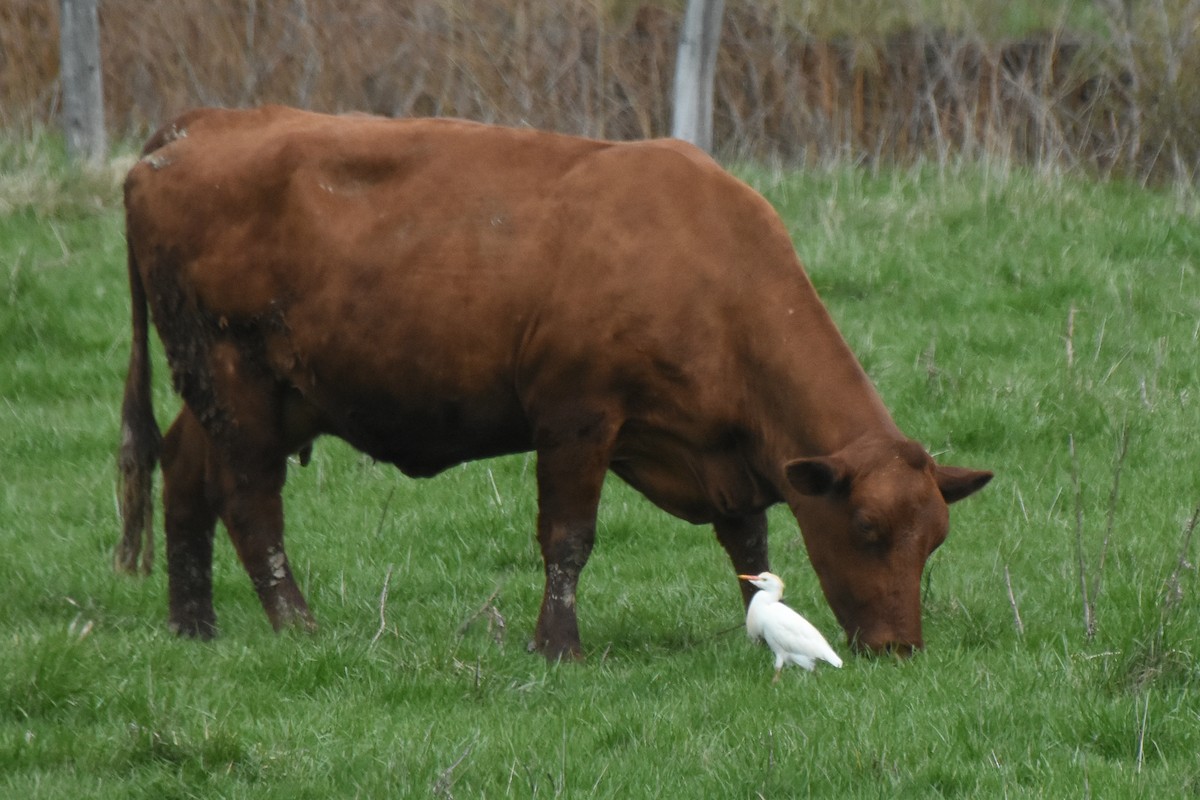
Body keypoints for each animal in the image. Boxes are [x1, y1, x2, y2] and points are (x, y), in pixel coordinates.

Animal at [115, 105, 991, 659]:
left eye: (937, 540)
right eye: (868, 530)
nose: (900, 648)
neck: (711, 271)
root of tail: (196, 125)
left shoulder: (725, 452)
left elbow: (748, 541)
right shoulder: (577, 419)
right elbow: (569, 538)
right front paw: (556, 646)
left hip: (250, 392)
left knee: (184, 472)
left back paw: (193, 624)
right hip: (237, 381)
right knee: (249, 501)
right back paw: (295, 623)